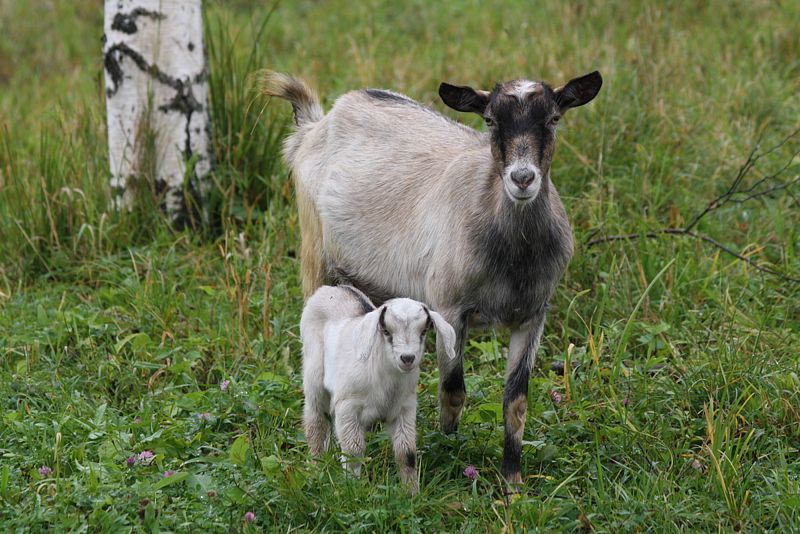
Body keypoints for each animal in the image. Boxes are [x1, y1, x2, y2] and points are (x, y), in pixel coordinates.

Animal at [300, 284, 456, 493]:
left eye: (424, 331)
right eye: (386, 331)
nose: (407, 358)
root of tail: (334, 288)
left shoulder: (405, 408)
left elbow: (406, 453)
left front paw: (412, 493)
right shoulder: (347, 406)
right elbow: (353, 450)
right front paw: (352, 487)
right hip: (314, 374)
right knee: (316, 421)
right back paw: (315, 469)